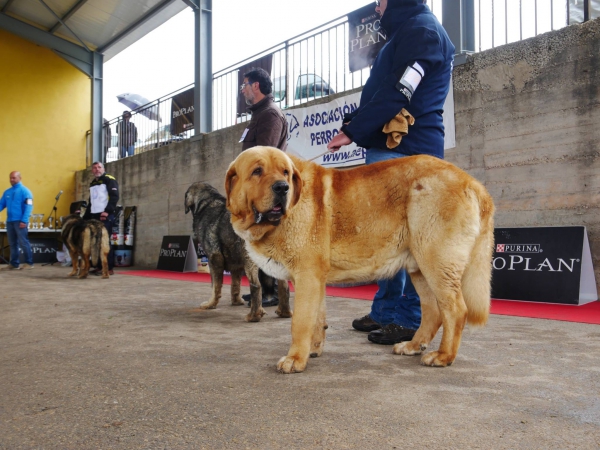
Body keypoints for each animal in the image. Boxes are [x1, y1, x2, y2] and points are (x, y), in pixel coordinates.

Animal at [225, 147, 492, 372]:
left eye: (286, 173)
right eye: (257, 171)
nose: (282, 188)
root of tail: (473, 183)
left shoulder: (306, 276)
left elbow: (300, 322)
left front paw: (295, 359)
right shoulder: (315, 278)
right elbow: (317, 318)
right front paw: (313, 350)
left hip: (435, 260)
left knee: (455, 310)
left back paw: (444, 356)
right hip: (420, 267)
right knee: (433, 311)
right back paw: (413, 346)